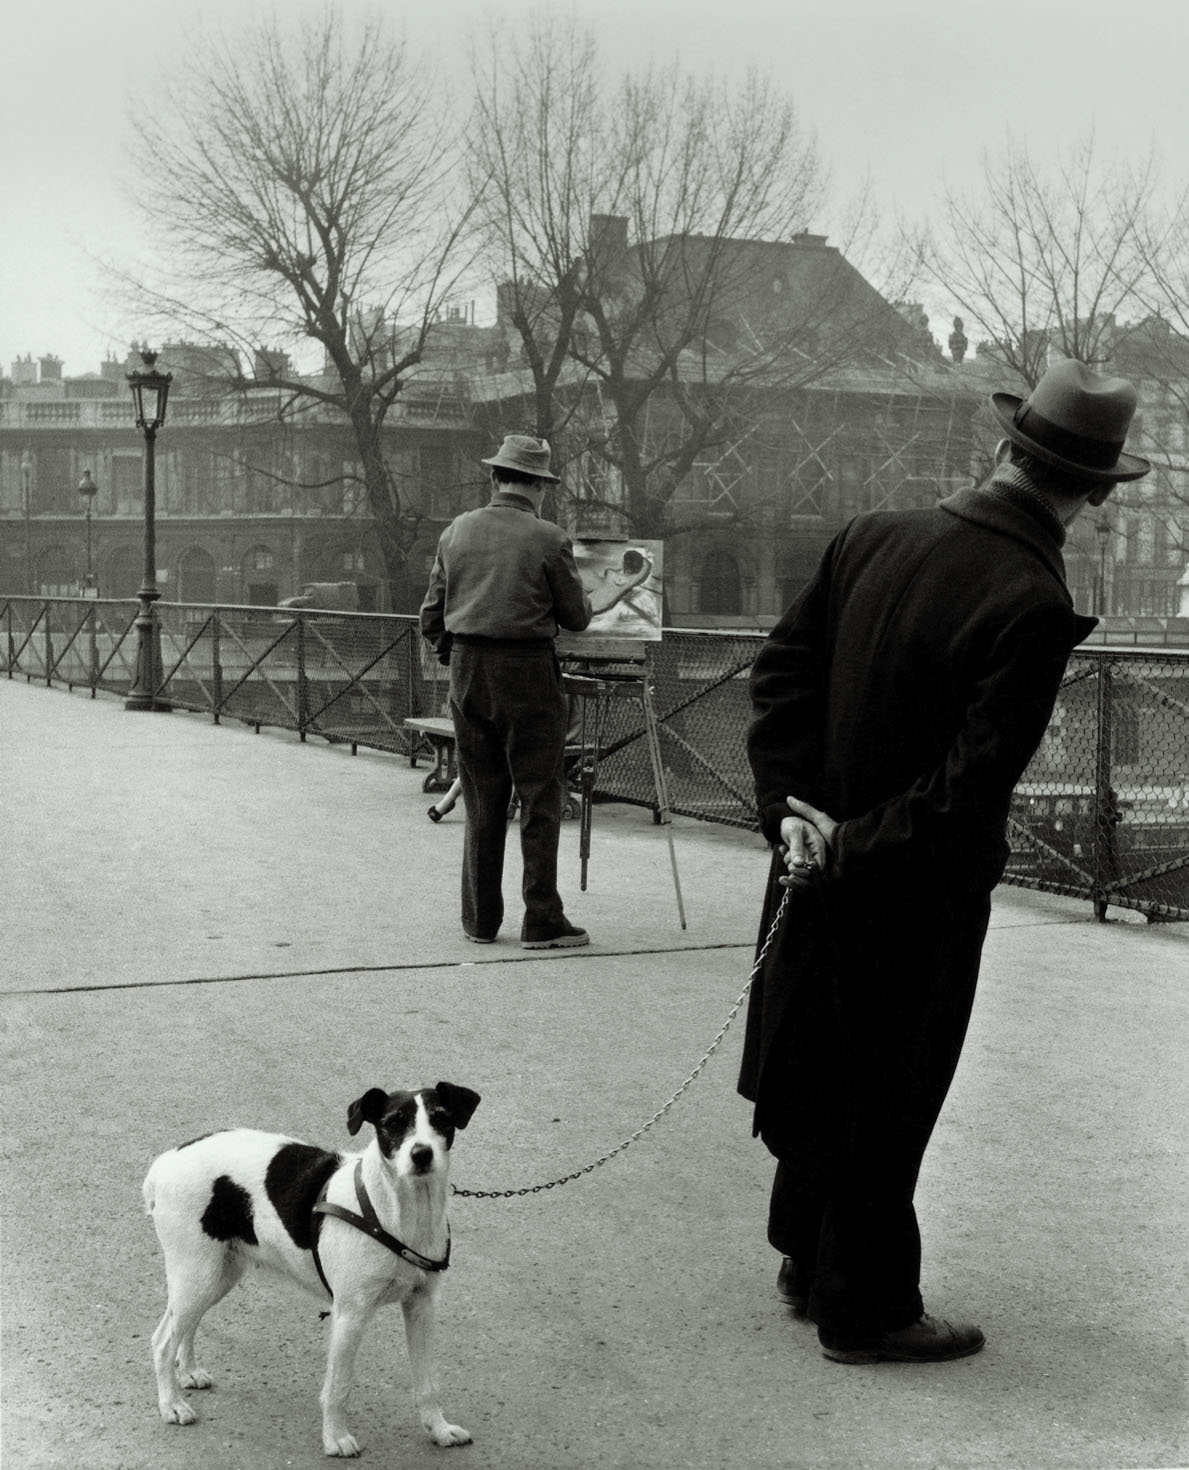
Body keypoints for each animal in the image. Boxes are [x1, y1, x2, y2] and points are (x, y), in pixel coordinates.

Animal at [146, 1081, 479, 1458]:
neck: (399, 1215)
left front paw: (439, 1429)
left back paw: (188, 1371)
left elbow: (427, 1383)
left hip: (216, 1275)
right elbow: (339, 1387)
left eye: (441, 1119)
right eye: (393, 1122)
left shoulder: (421, 1307)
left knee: (184, 1325)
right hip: (197, 1275)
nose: (421, 1154)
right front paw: (335, 1438)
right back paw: (171, 1405)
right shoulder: (350, 1314)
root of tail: (168, 1160)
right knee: (162, 1341)